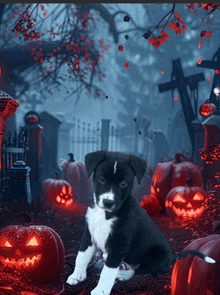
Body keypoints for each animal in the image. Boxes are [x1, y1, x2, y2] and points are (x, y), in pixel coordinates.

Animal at [66, 151, 215, 294]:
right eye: (101, 179)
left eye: (123, 183)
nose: (108, 202)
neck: (105, 214)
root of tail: (171, 258)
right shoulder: (89, 234)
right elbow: (81, 256)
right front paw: (76, 276)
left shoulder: (119, 243)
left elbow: (107, 270)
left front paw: (101, 290)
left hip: (157, 255)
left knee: (140, 270)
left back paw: (122, 274)